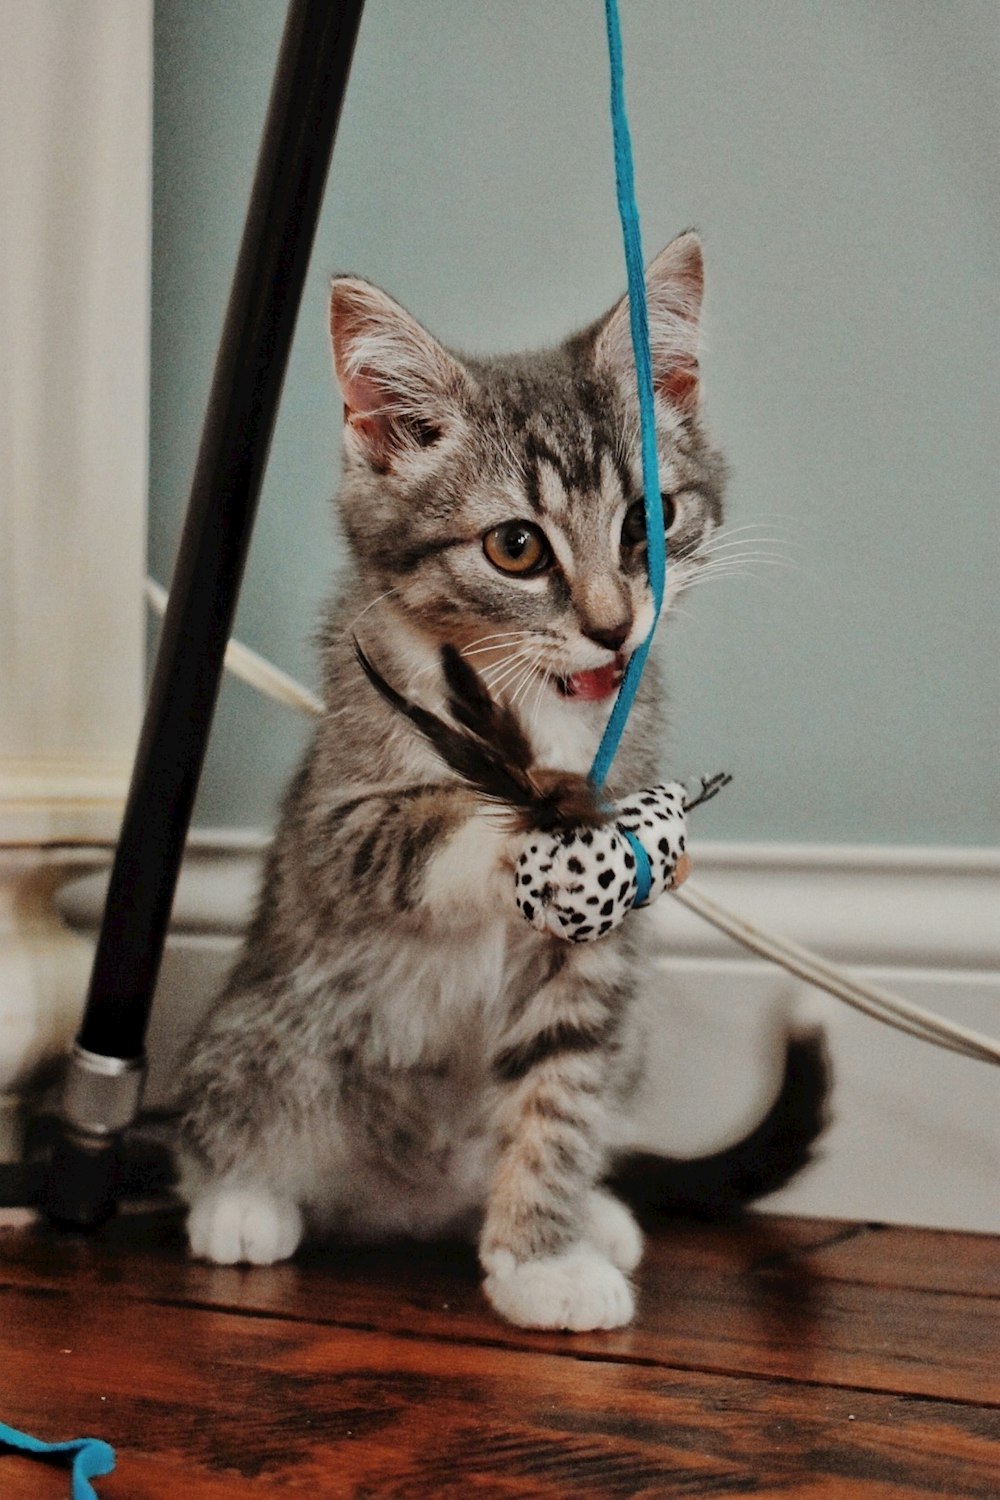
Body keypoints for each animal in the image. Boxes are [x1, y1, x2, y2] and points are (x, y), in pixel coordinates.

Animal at [182, 237, 815, 1338]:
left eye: (649, 521)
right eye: (515, 547)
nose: (613, 626)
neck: (539, 692)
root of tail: (404, 1199)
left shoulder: (593, 975)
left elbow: (559, 1089)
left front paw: (540, 1258)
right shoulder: (338, 815)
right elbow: (415, 831)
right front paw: (549, 833)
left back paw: (589, 1213)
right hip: (269, 1029)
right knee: (218, 1121)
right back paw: (243, 1202)